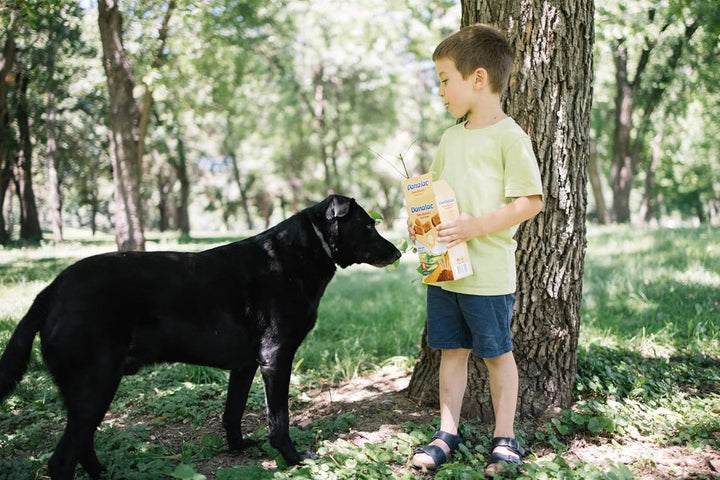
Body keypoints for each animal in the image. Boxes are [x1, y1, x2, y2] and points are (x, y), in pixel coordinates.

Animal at [0, 196, 400, 480]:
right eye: (368, 225)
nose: (397, 251)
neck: (303, 252)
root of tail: (51, 290)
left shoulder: (245, 365)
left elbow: (232, 412)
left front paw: (239, 448)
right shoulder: (276, 358)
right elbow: (279, 419)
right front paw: (292, 457)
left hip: (90, 388)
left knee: (81, 444)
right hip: (95, 383)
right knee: (61, 460)